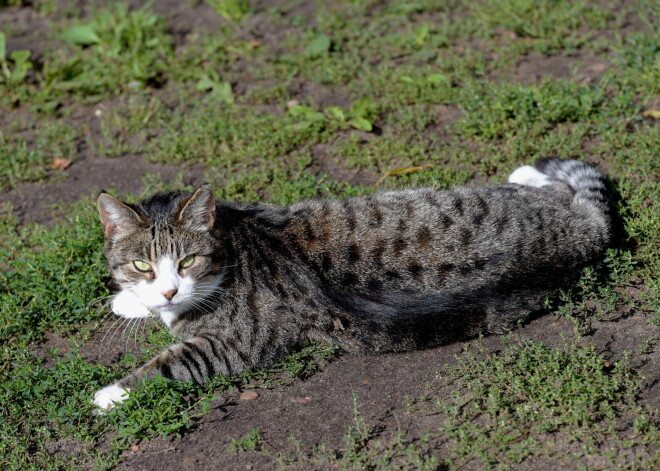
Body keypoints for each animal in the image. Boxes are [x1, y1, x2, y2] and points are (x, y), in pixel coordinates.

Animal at [90, 158, 612, 410]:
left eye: (189, 260)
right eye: (142, 265)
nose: (169, 290)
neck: (233, 245)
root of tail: (583, 239)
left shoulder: (240, 343)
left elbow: (172, 362)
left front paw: (109, 394)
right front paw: (132, 301)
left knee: (561, 188)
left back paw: (529, 173)